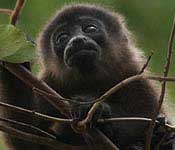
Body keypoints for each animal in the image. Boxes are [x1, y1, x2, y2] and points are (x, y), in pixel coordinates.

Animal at [0, 3, 174, 150]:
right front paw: (16, 54)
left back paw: (161, 138)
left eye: (90, 28)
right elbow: (26, 139)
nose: (77, 40)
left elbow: (144, 115)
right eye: (62, 37)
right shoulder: (50, 85)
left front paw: (91, 108)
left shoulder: (134, 77)